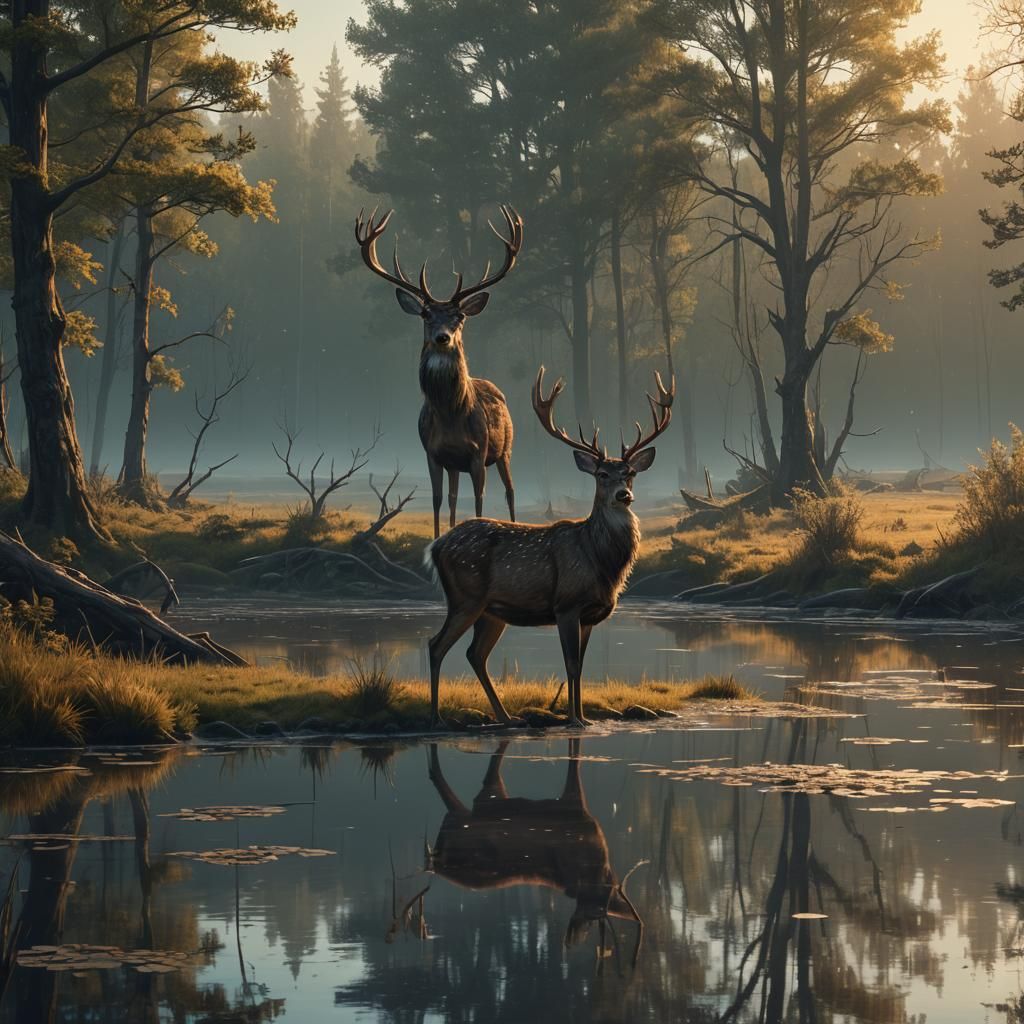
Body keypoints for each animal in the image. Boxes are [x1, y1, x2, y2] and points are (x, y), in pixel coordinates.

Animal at [355, 206, 523, 538]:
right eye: (426, 313)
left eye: (459, 316)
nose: (442, 337)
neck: (450, 413)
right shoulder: (433, 453)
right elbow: (437, 500)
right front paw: (437, 538)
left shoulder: (478, 452)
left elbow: (480, 501)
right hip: (457, 465)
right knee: (454, 497)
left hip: (505, 448)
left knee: (510, 491)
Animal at [425, 367, 674, 728]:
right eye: (601, 474)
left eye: (629, 473)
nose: (623, 495)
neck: (600, 562)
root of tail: (435, 547)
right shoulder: (566, 604)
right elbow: (570, 664)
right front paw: (573, 720)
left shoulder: (590, 616)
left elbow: (581, 667)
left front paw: (584, 717)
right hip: (465, 596)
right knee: (436, 645)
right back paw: (436, 718)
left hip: (491, 610)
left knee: (475, 654)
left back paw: (506, 717)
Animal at [426, 739, 644, 961]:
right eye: (598, 903)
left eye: (606, 901)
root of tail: (436, 865)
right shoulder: (574, 806)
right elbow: (575, 761)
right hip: (482, 809)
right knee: (476, 777)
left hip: (477, 810)